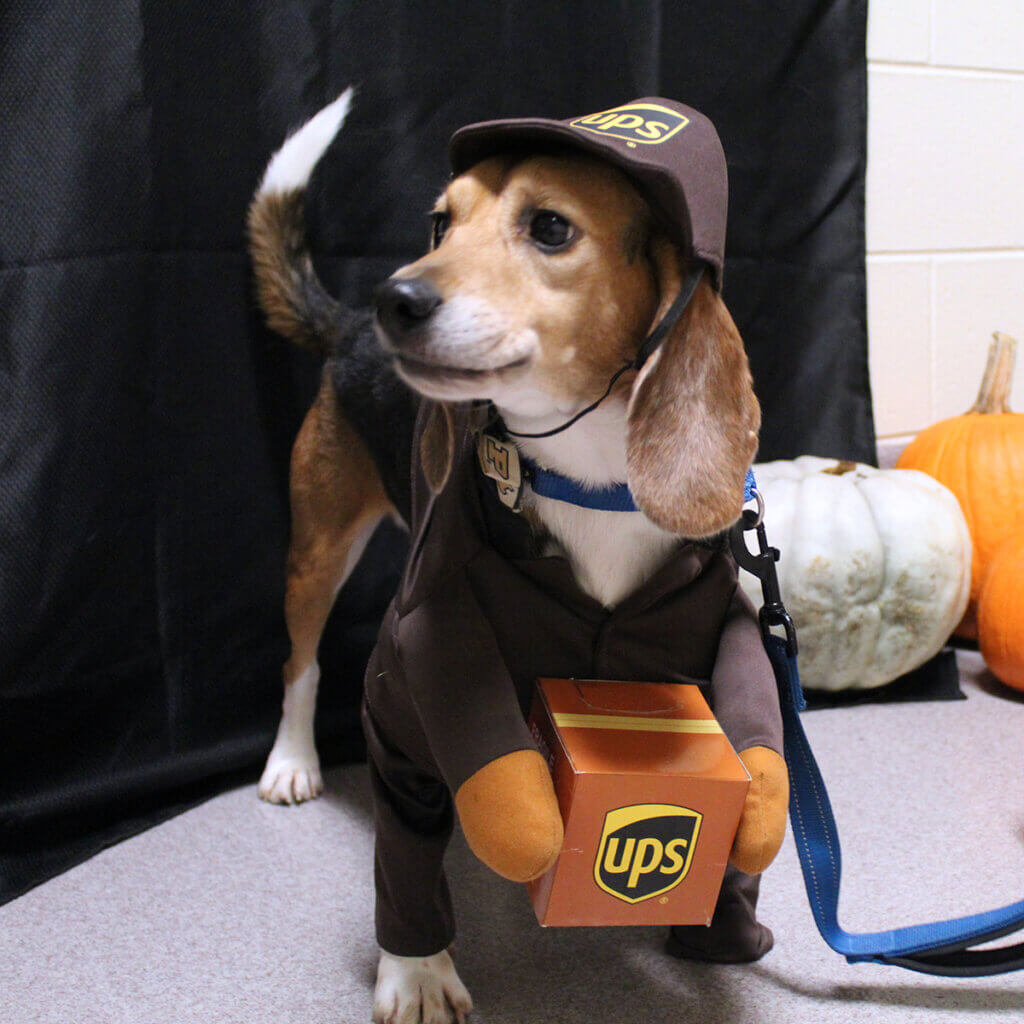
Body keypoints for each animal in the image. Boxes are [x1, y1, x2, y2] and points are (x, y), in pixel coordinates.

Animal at [249, 94, 790, 1024]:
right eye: (440, 221)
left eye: (549, 228)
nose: (398, 297)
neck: (591, 481)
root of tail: (348, 326)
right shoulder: (406, 685)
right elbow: (410, 851)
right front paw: (417, 974)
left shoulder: (725, 643)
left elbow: (754, 773)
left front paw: (725, 933)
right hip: (318, 545)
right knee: (301, 661)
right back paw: (292, 761)